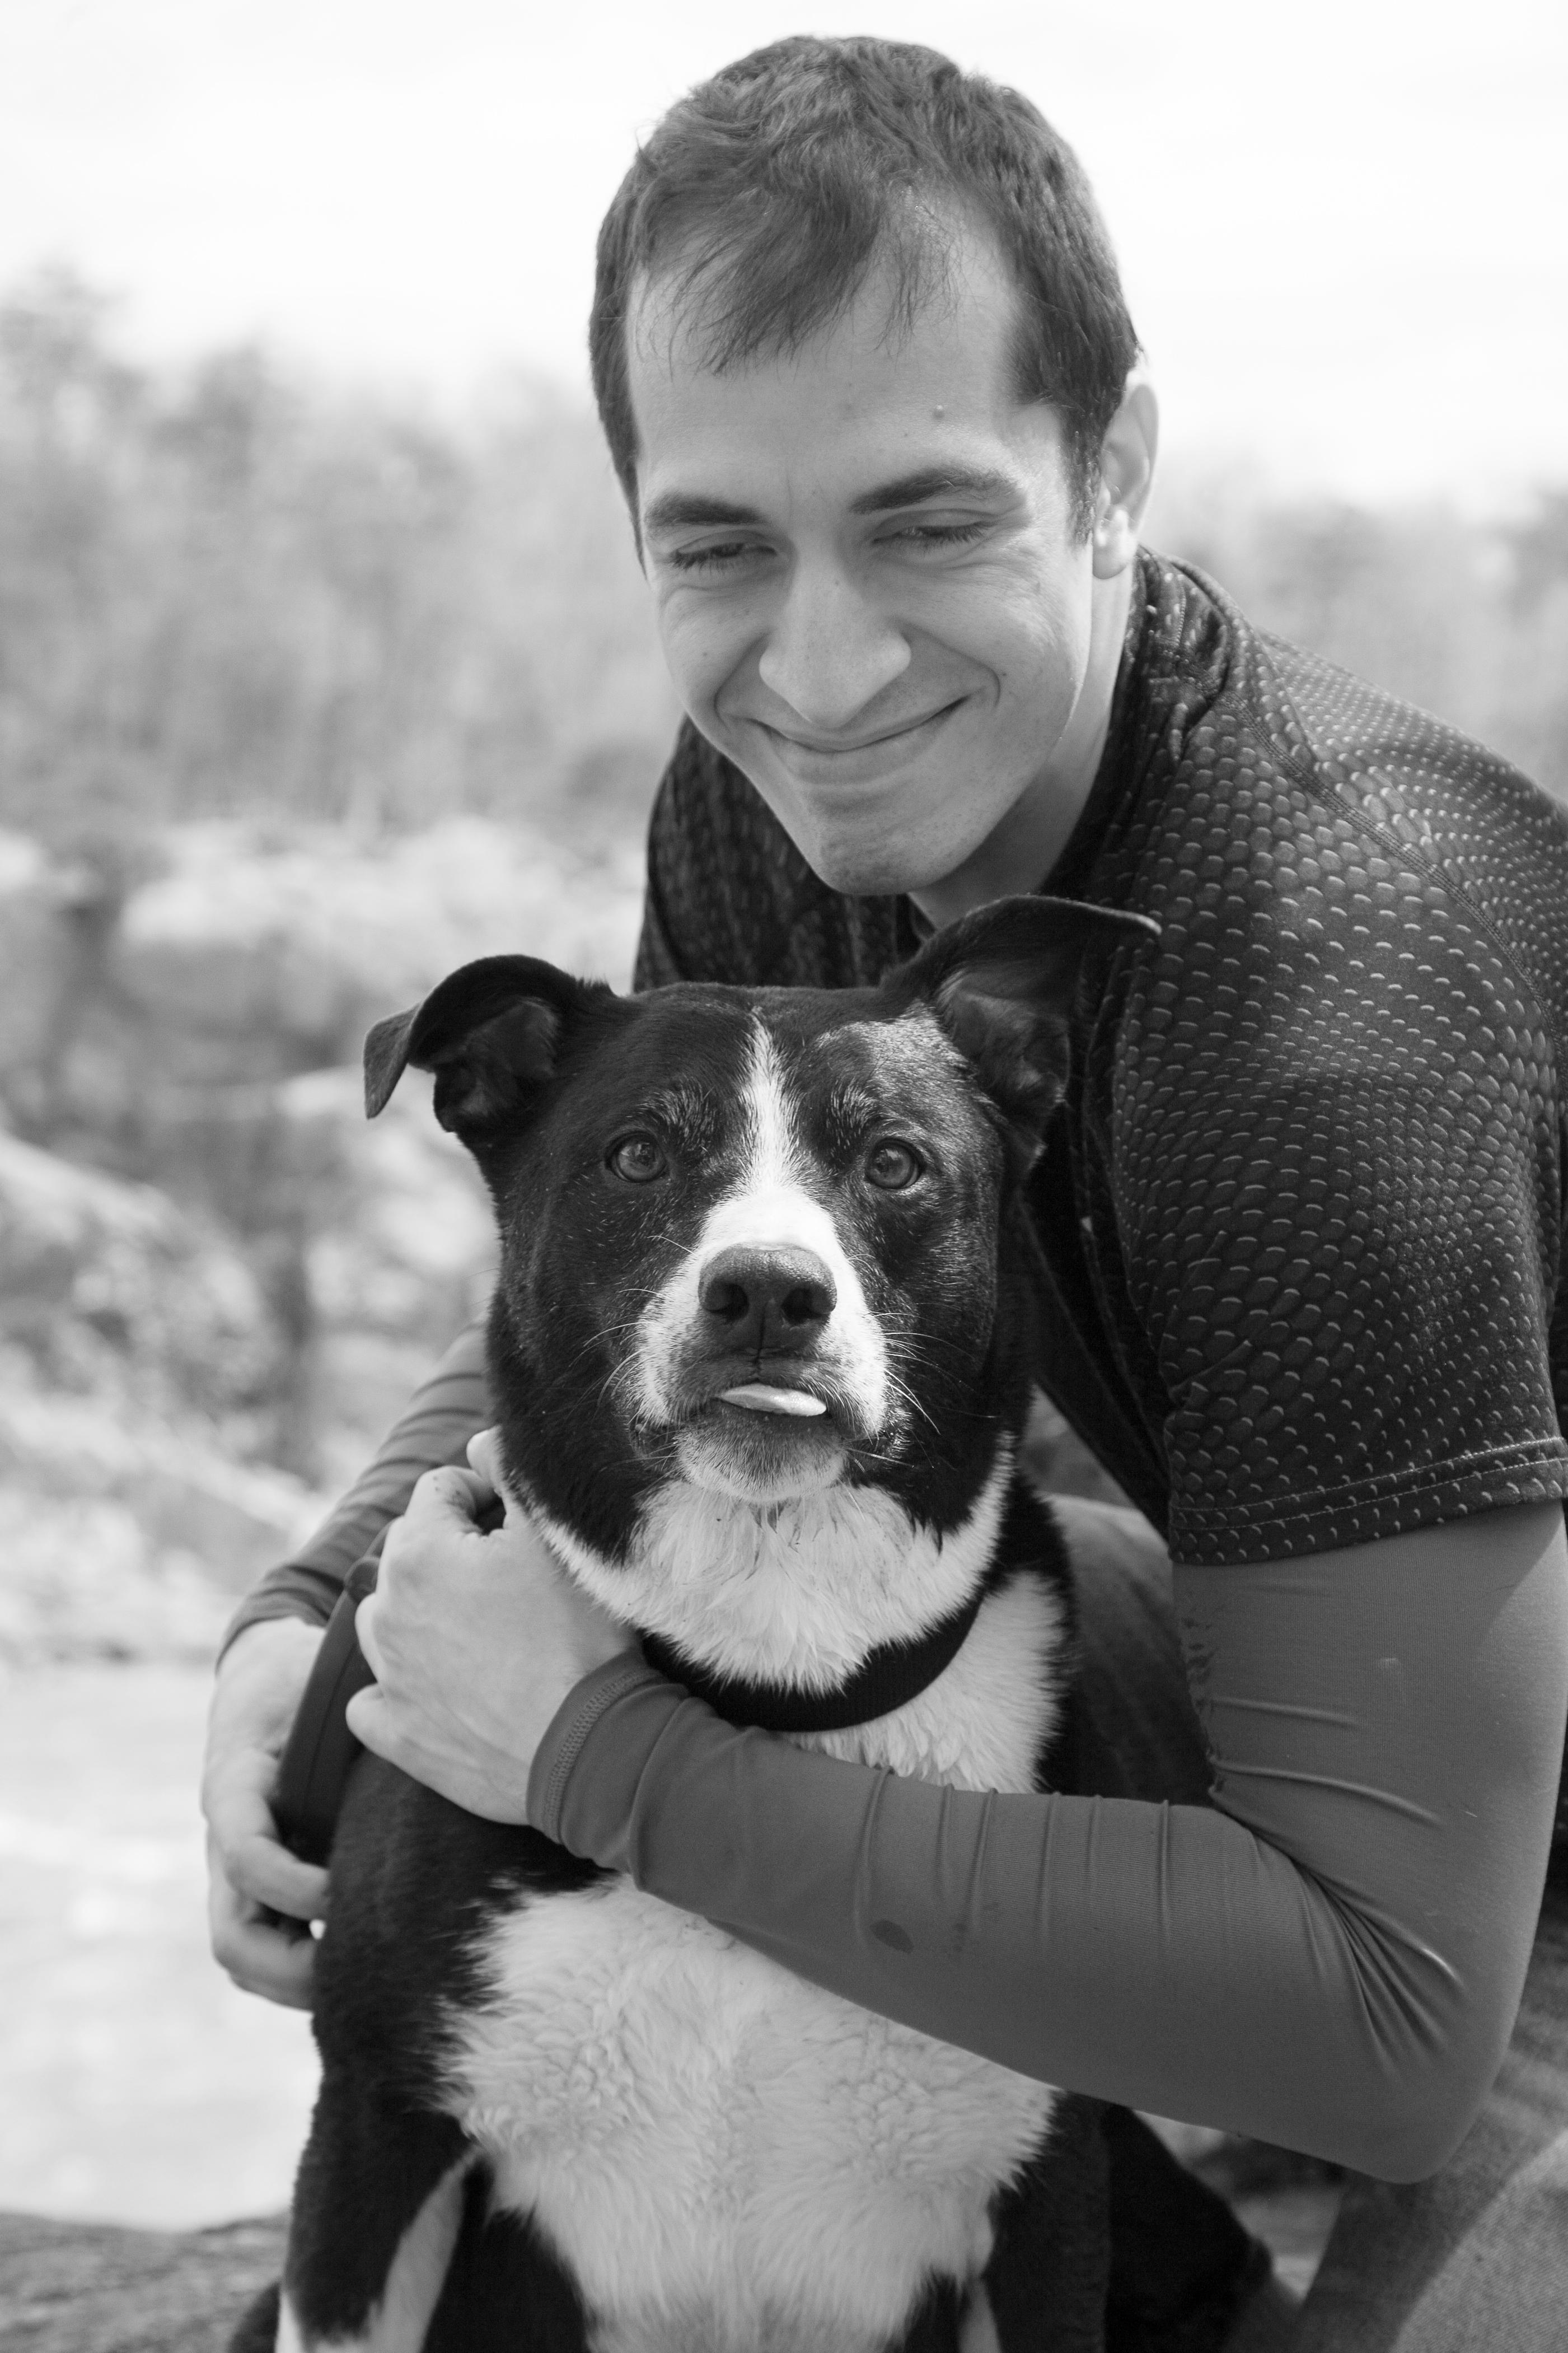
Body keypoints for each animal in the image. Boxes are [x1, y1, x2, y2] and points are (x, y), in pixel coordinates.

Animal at [237, 891, 1158, 2353]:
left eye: (892, 1161)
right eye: (636, 1153)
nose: (770, 1291)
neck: (763, 1692)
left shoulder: (1049, 2197)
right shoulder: (375, 2138)